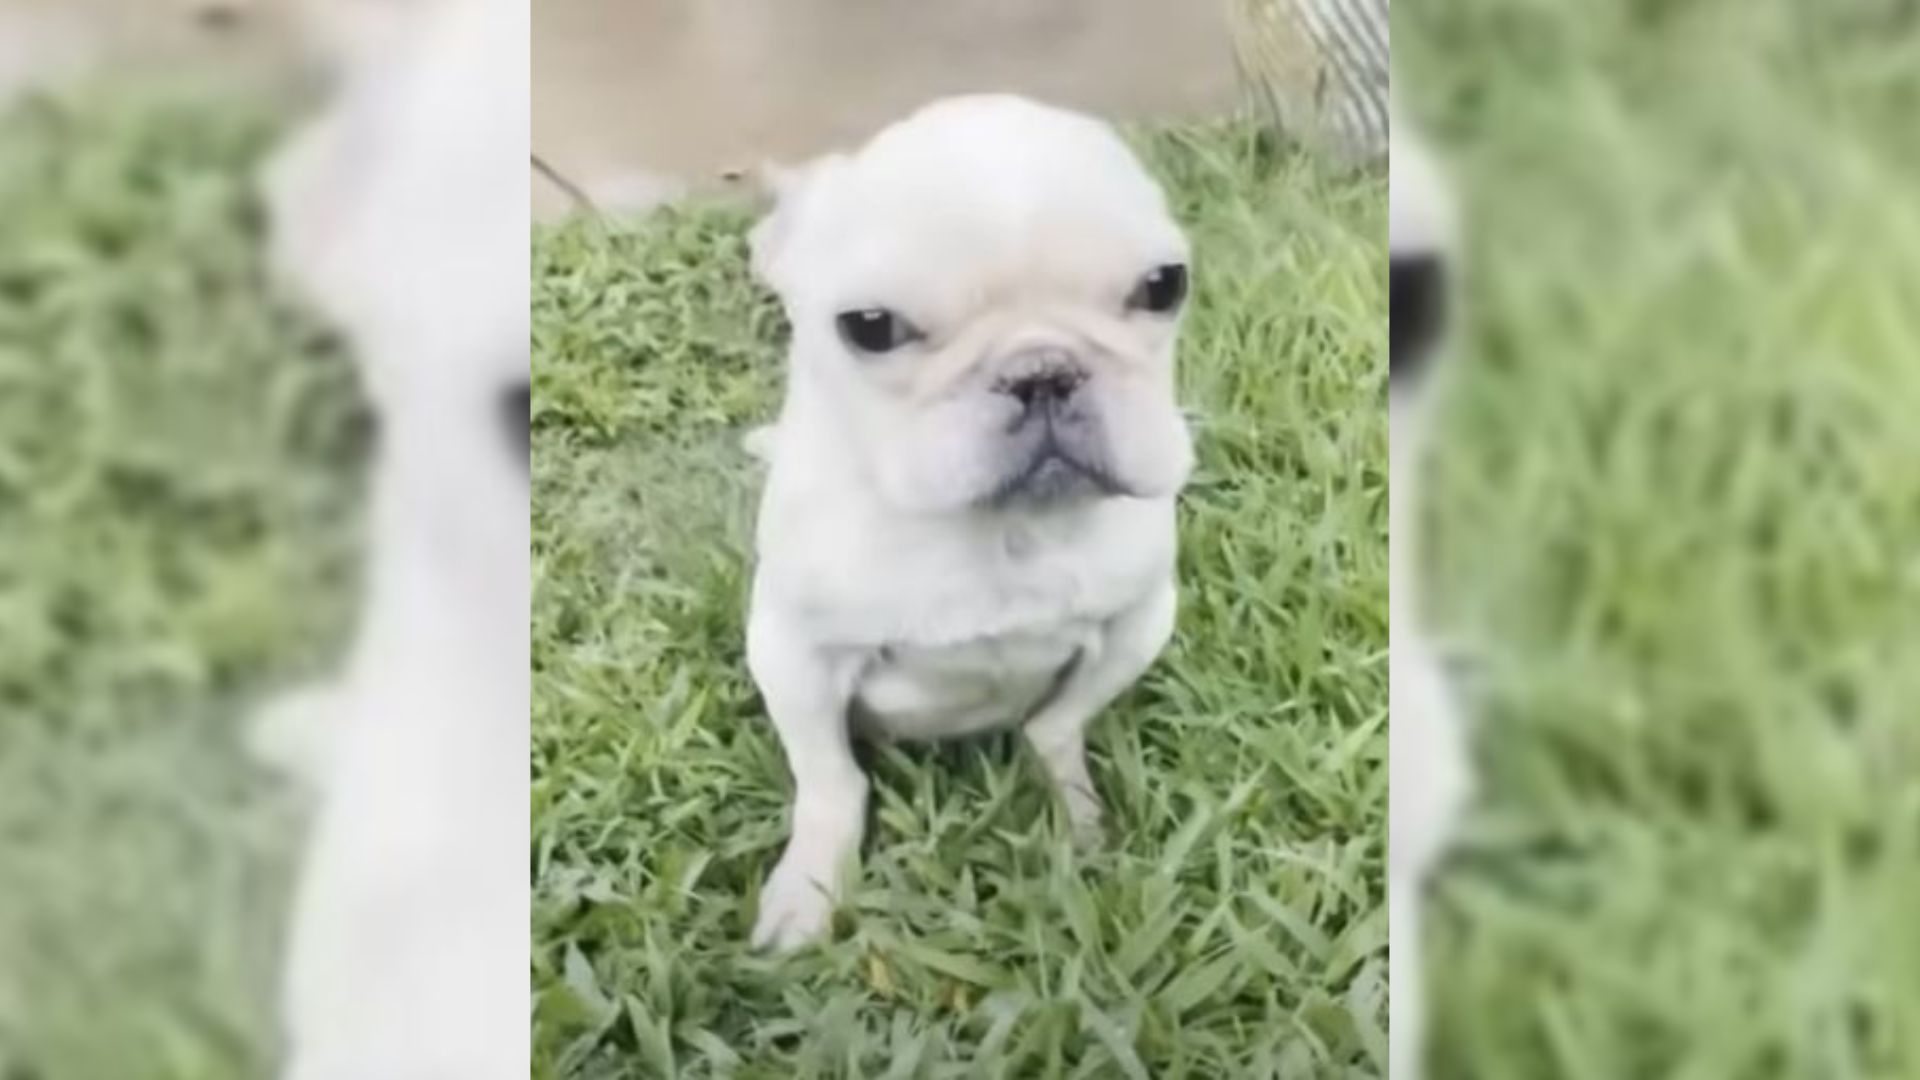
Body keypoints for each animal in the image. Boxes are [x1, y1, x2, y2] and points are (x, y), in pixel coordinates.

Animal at [741, 94, 1190, 949]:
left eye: (1163, 286)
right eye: (870, 326)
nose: (1042, 368)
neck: (999, 532)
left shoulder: (1139, 624)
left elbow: (1057, 725)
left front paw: (1078, 816)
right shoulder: (792, 657)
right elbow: (830, 779)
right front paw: (810, 887)